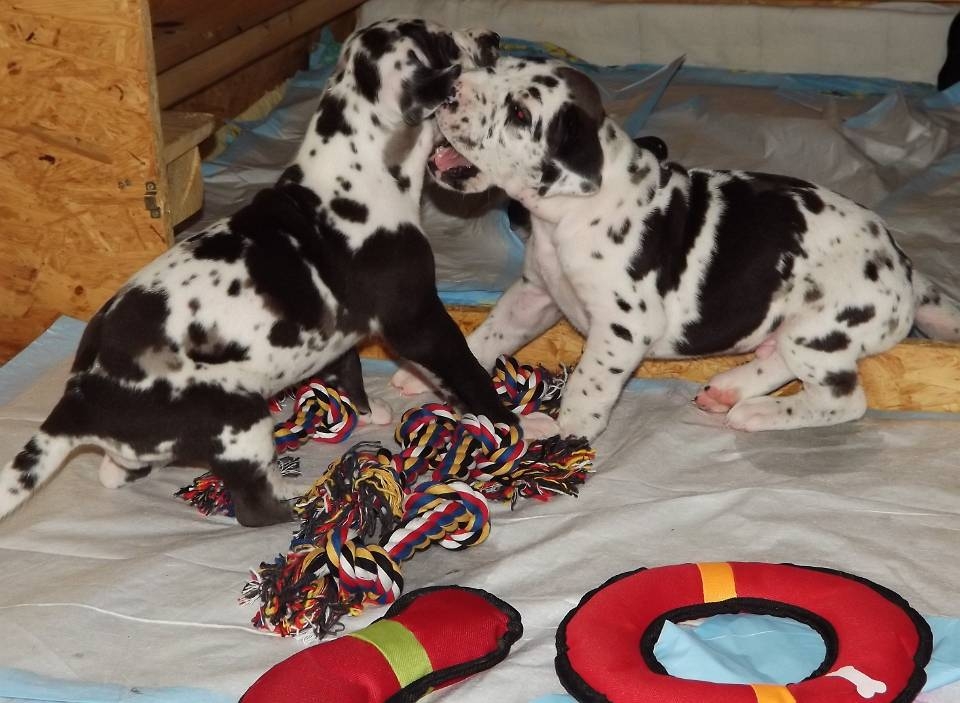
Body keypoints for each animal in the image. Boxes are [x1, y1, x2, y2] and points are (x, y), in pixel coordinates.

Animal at [0, 19, 513, 527]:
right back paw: (307, 499)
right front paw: (506, 424)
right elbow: (467, 371)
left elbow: (349, 370)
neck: (357, 176)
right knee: (254, 508)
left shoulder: (339, 332)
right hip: (237, 418)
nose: (492, 38)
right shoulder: (419, 321)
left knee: (114, 471)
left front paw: (367, 412)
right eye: (442, 40)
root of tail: (80, 395)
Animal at [423, 56, 960, 440]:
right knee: (780, 356)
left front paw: (563, 431)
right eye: (495, 68)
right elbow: (491, 333)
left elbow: (588, 382)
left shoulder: (622, 327)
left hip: (822, 329)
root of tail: (904, 269)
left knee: (843, 399)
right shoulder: (535, 294)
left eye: (519, 113)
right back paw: (730, 389)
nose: (449, 89)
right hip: (798, 329)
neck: (567, 214)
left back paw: (758, 412)